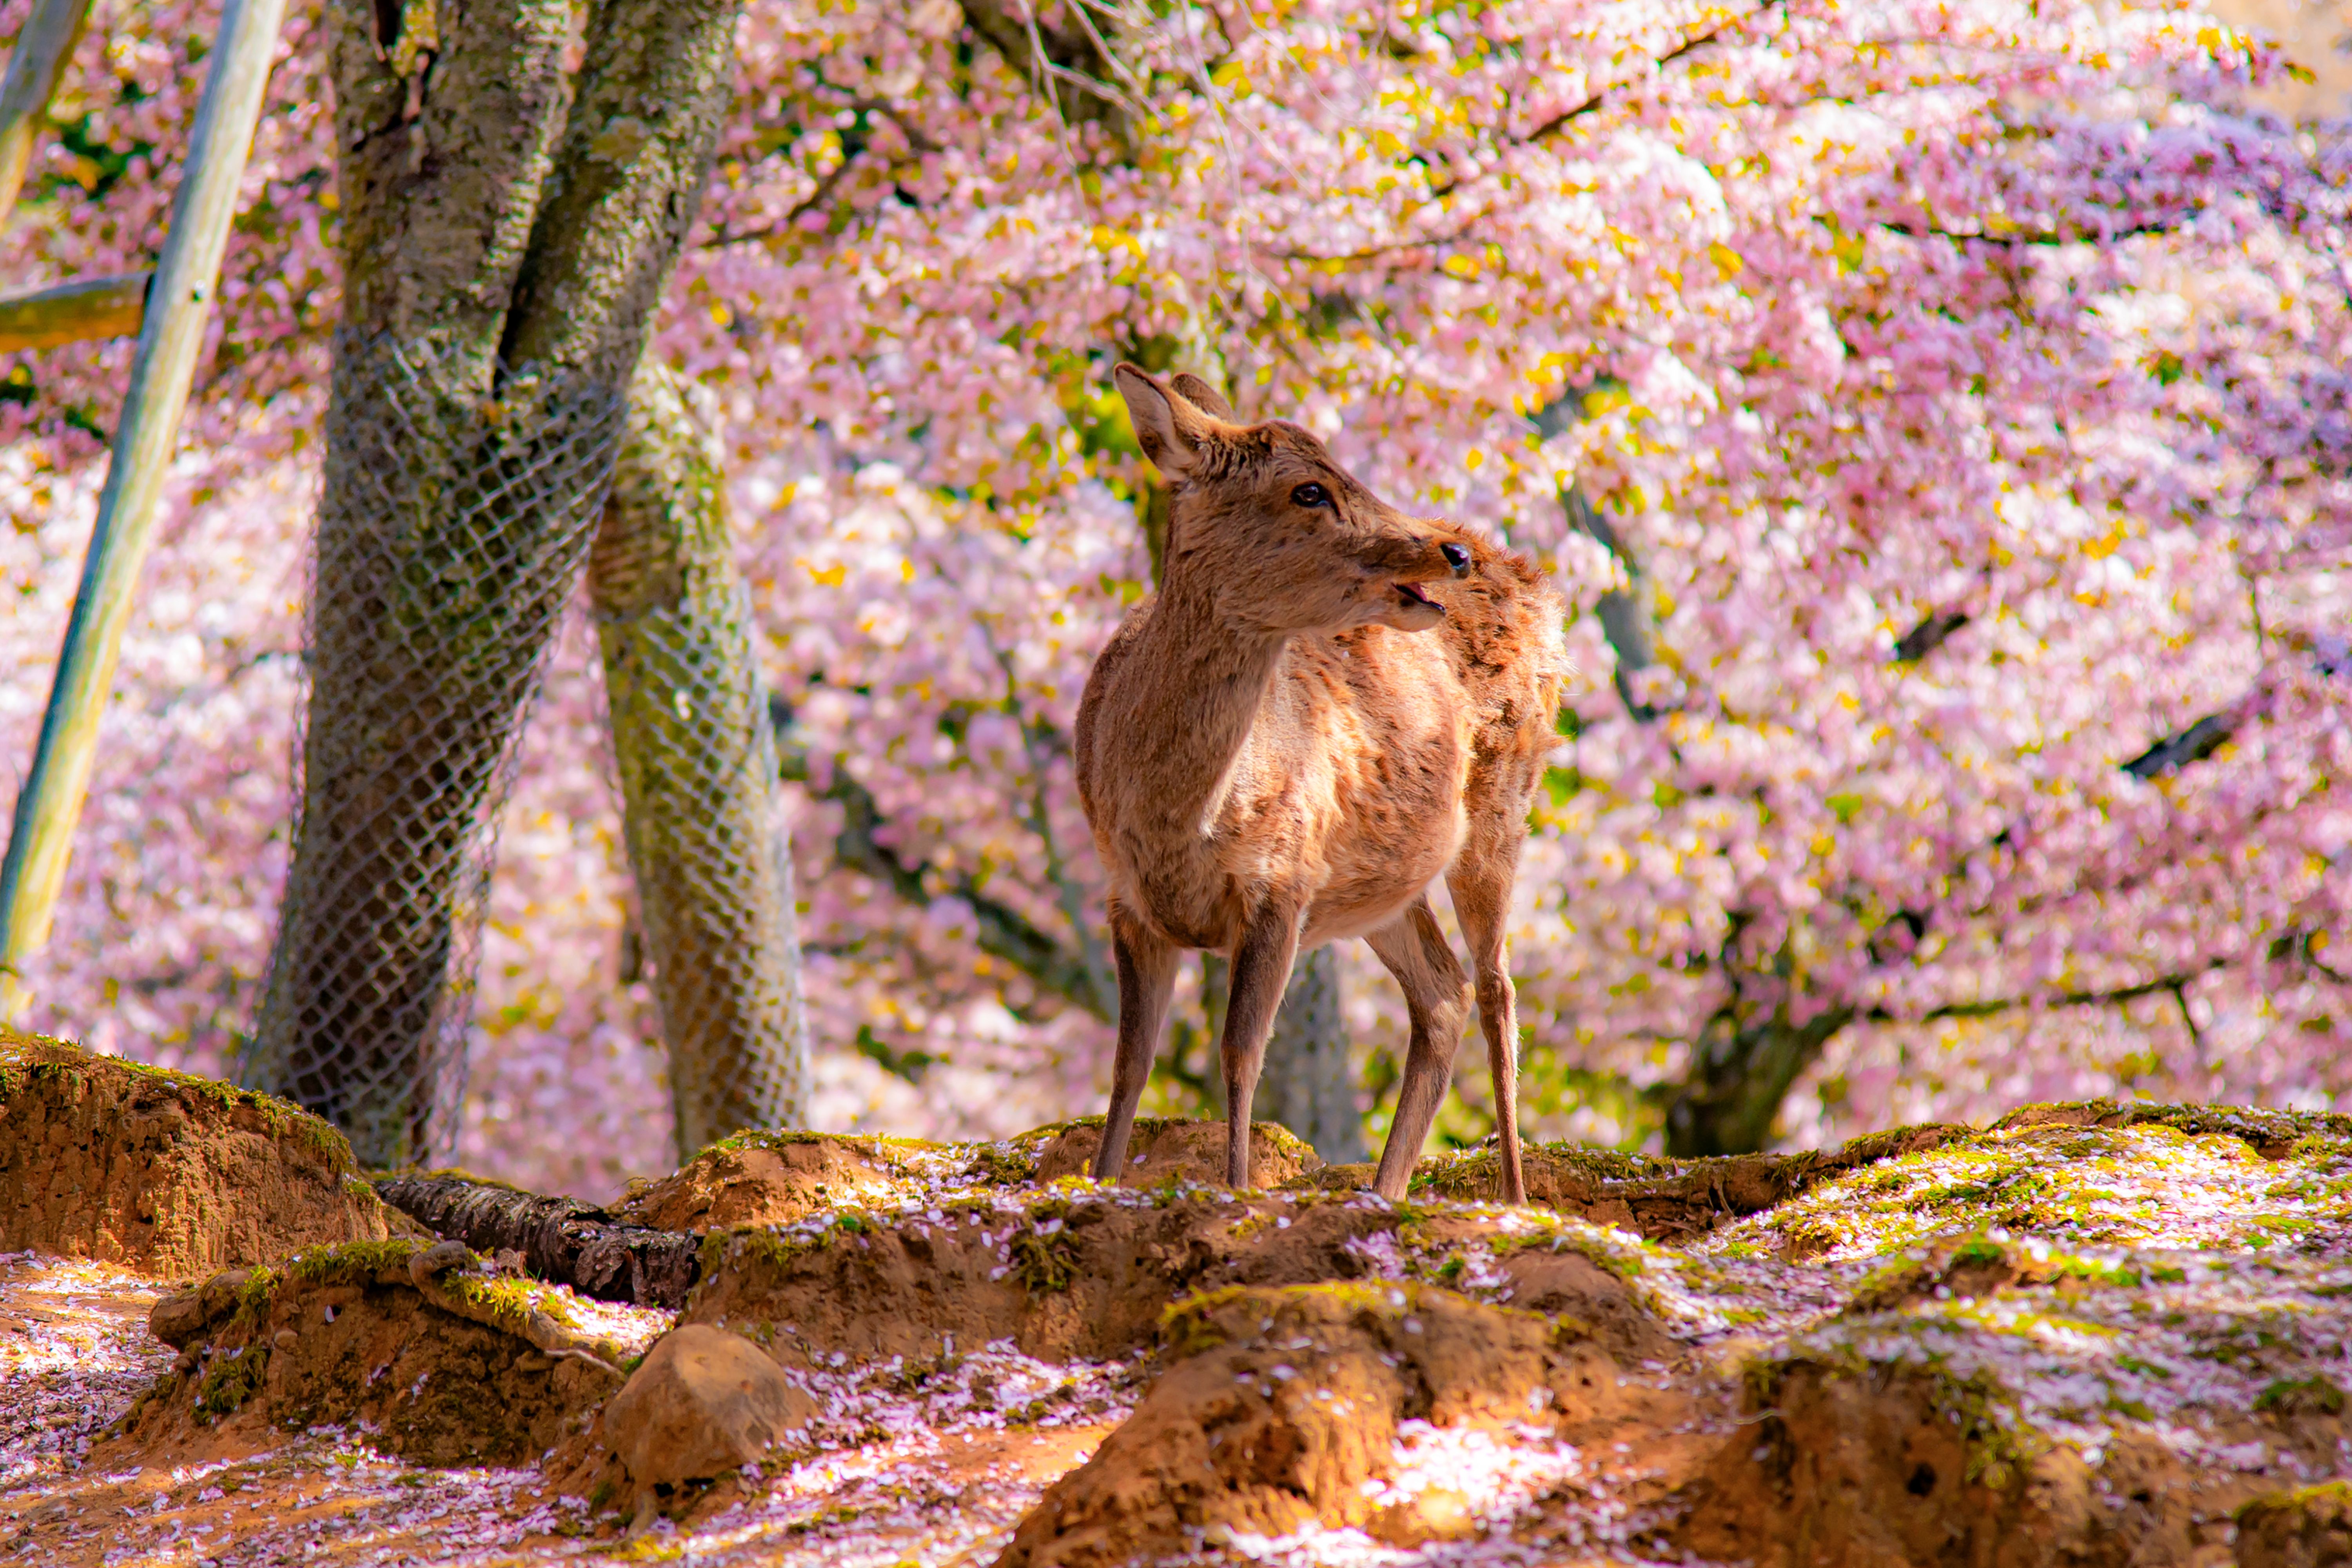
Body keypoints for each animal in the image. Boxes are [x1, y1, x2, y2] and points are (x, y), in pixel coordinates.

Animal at [1073, 365, 1569, 1204]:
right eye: (1308, 490)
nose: (1446, 554)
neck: (1176, 816)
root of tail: (1536, 588)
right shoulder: (1125, 896)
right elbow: (1127, 1064)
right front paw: (1101, 1185)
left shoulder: (1284, 879)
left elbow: (1241, 1052)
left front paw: (1237, 1194)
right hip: (1380, 884)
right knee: (1442, 992)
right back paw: (1385, 1189)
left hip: (1506, 798)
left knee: (1496, 989)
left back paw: (1514, 1198)